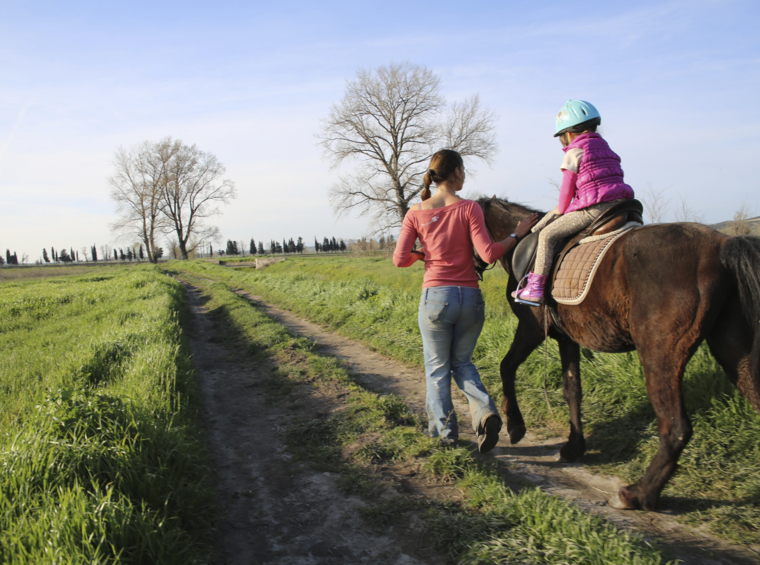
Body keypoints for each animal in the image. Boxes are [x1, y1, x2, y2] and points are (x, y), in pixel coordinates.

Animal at [476, 196, 760, 511]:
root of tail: (722, 246)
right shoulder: (566, 337)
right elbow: (572, 389)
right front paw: (574, 447)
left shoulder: (532, 328)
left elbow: (506, 367)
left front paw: (515, 426)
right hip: (734, 351)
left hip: (659, 354)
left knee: (676, 427)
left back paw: (639, 493)